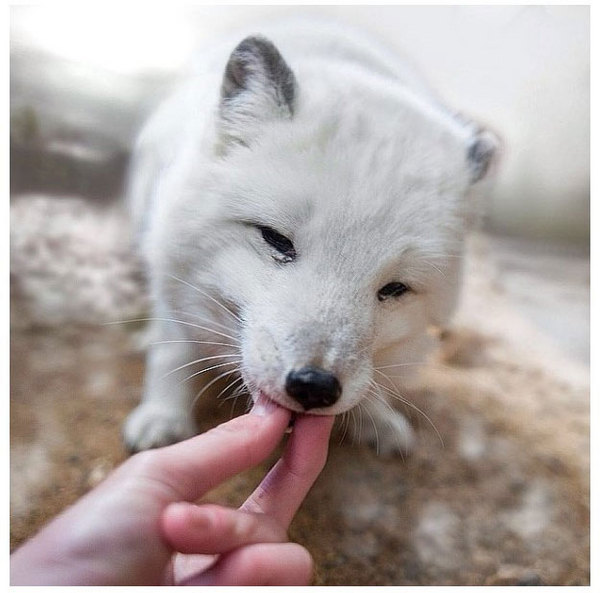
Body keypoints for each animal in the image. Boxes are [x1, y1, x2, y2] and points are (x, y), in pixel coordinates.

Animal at [123, 19, 496, 454]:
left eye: (394, 288)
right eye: (276, 240)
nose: (314, 386)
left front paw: (377, 418)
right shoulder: (173, 269)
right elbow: (171, 351)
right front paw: (163, 416)